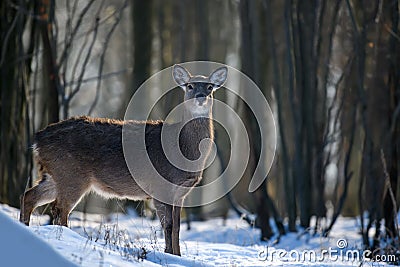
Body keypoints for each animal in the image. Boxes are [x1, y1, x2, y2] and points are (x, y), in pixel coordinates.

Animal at [21, 65, 228, 258]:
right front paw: (170, 254)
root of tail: (37, 140)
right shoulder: (160, 187)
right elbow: (168, 225)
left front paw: (177, 255)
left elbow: (177, 227)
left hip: (55, 174)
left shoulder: (180, 193)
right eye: (190, 85)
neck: (183, 149)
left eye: (210, 86)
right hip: (72, 174)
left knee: (30, 195)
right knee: (59, 209)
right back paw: (65, 238)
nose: (200, 96)